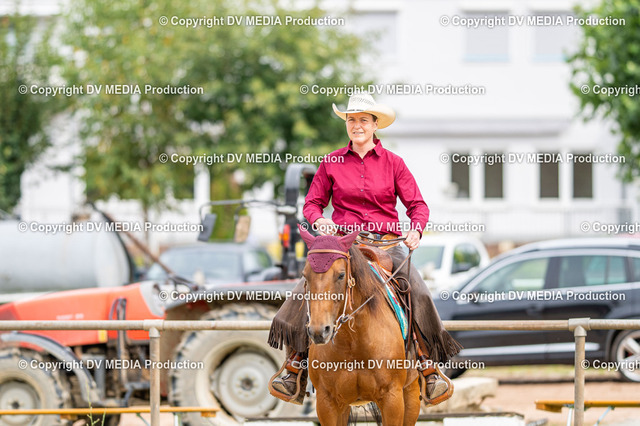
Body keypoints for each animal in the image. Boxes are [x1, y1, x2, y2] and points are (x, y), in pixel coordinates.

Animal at [299, 228, 421, 426]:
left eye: (341, 275)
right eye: (305, 275)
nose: (319, 331)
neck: (354, 343)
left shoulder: (392, 399)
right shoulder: (327, 403)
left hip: (410, 396)